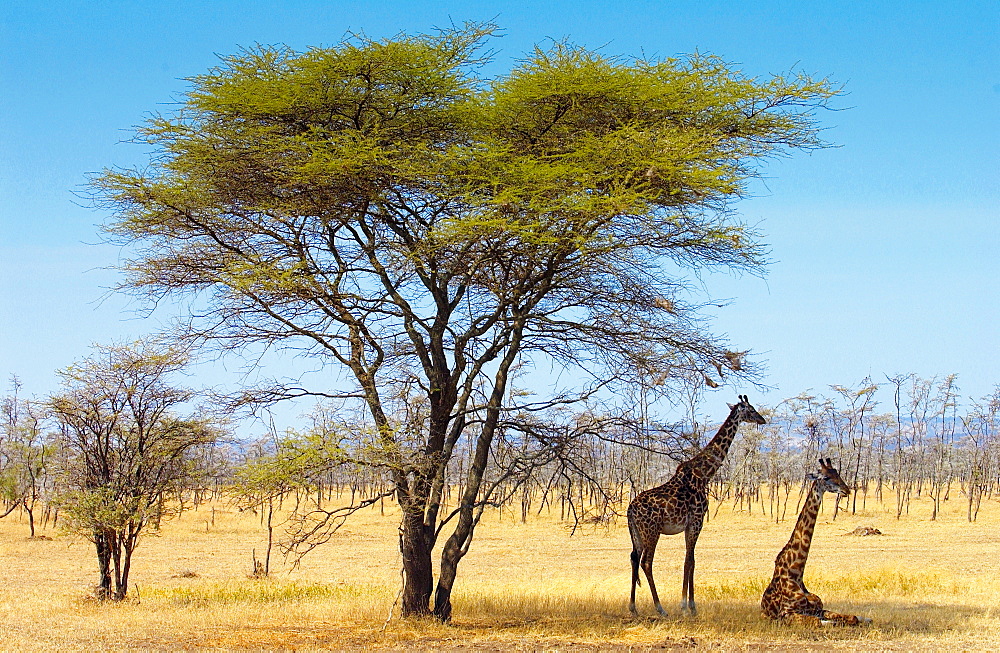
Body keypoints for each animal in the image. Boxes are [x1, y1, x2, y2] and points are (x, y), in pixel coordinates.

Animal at [624, 394, 764, 612]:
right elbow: (689, 560)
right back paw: (660, 607)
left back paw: (633, 607)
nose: (763, 420)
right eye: (751, 409)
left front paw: (690, 604)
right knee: (646, 562)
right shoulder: (697, 521)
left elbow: (691, 560)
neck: (704, 475)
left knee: (634, 558)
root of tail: (630, 510)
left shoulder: (690, 524)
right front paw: (687, 605)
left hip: (637, 533)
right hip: (651, 531)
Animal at [760, 456, 872, 624]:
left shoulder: (818, 609)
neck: (796, 572)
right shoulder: (786, 613)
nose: (846, 490)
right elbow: (819, 622)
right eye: (826, 477)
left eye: (837, 473)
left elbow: (851, 617)